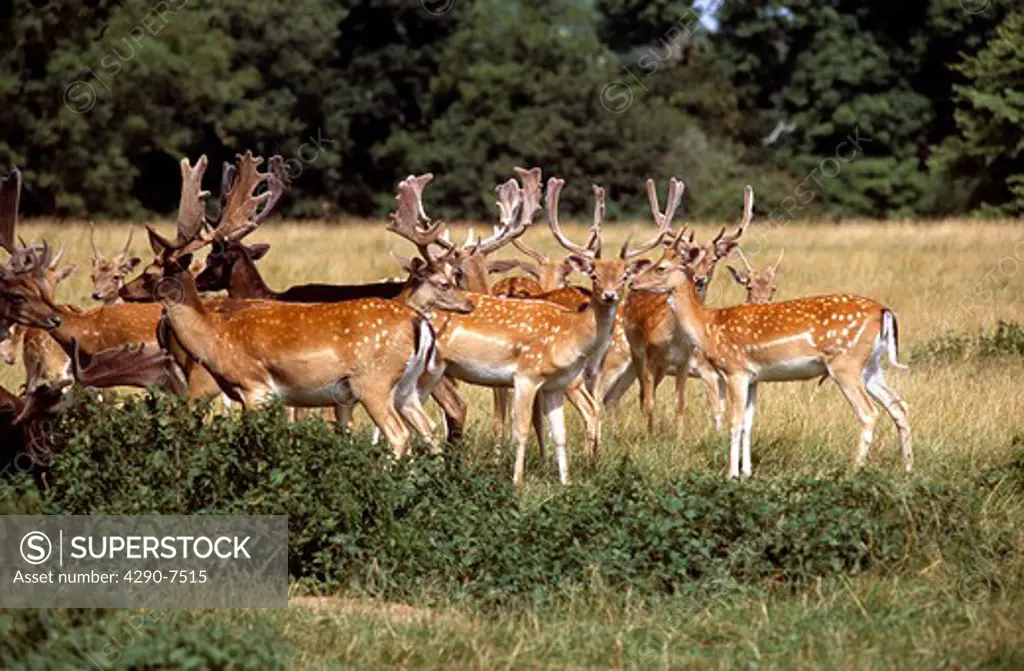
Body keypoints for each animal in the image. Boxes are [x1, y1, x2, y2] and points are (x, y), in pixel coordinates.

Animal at [630, 224, 913, 477]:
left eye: (661, 268)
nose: (633, 283)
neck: (708, 326)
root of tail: (884, 311)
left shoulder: (735, 371)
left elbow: (734, 422)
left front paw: (731, 474)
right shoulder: (754, 377)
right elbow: (748, 423)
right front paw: (747, 472)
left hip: (846, 364)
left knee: (868, 413)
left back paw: (854, 470)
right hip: (871, 366)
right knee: (899, 406)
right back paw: (908, 469)